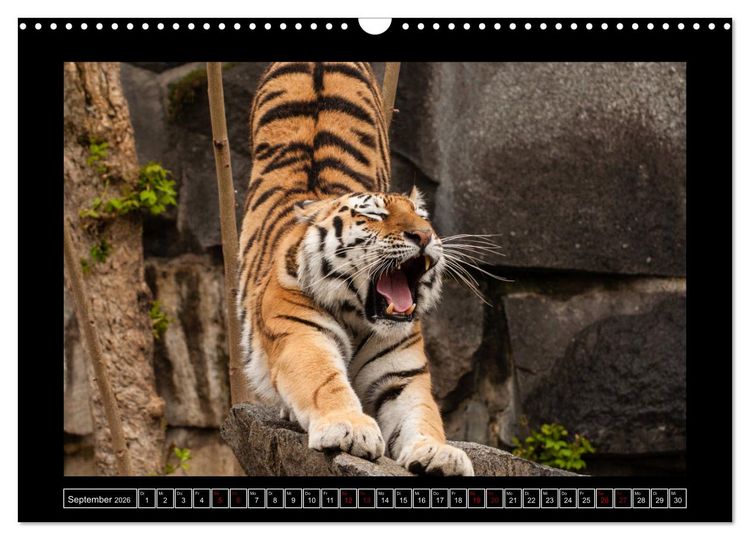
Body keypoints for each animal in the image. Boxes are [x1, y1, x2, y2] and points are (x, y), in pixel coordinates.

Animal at [237, 62, 474, 476]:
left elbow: (422, 414)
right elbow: (325, 382)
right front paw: (349, 427)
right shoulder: (303, 338)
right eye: (375, 216)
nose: (424, 235)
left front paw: (438, 452)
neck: (359, 316)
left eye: (422, 216)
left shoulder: (400, 374)